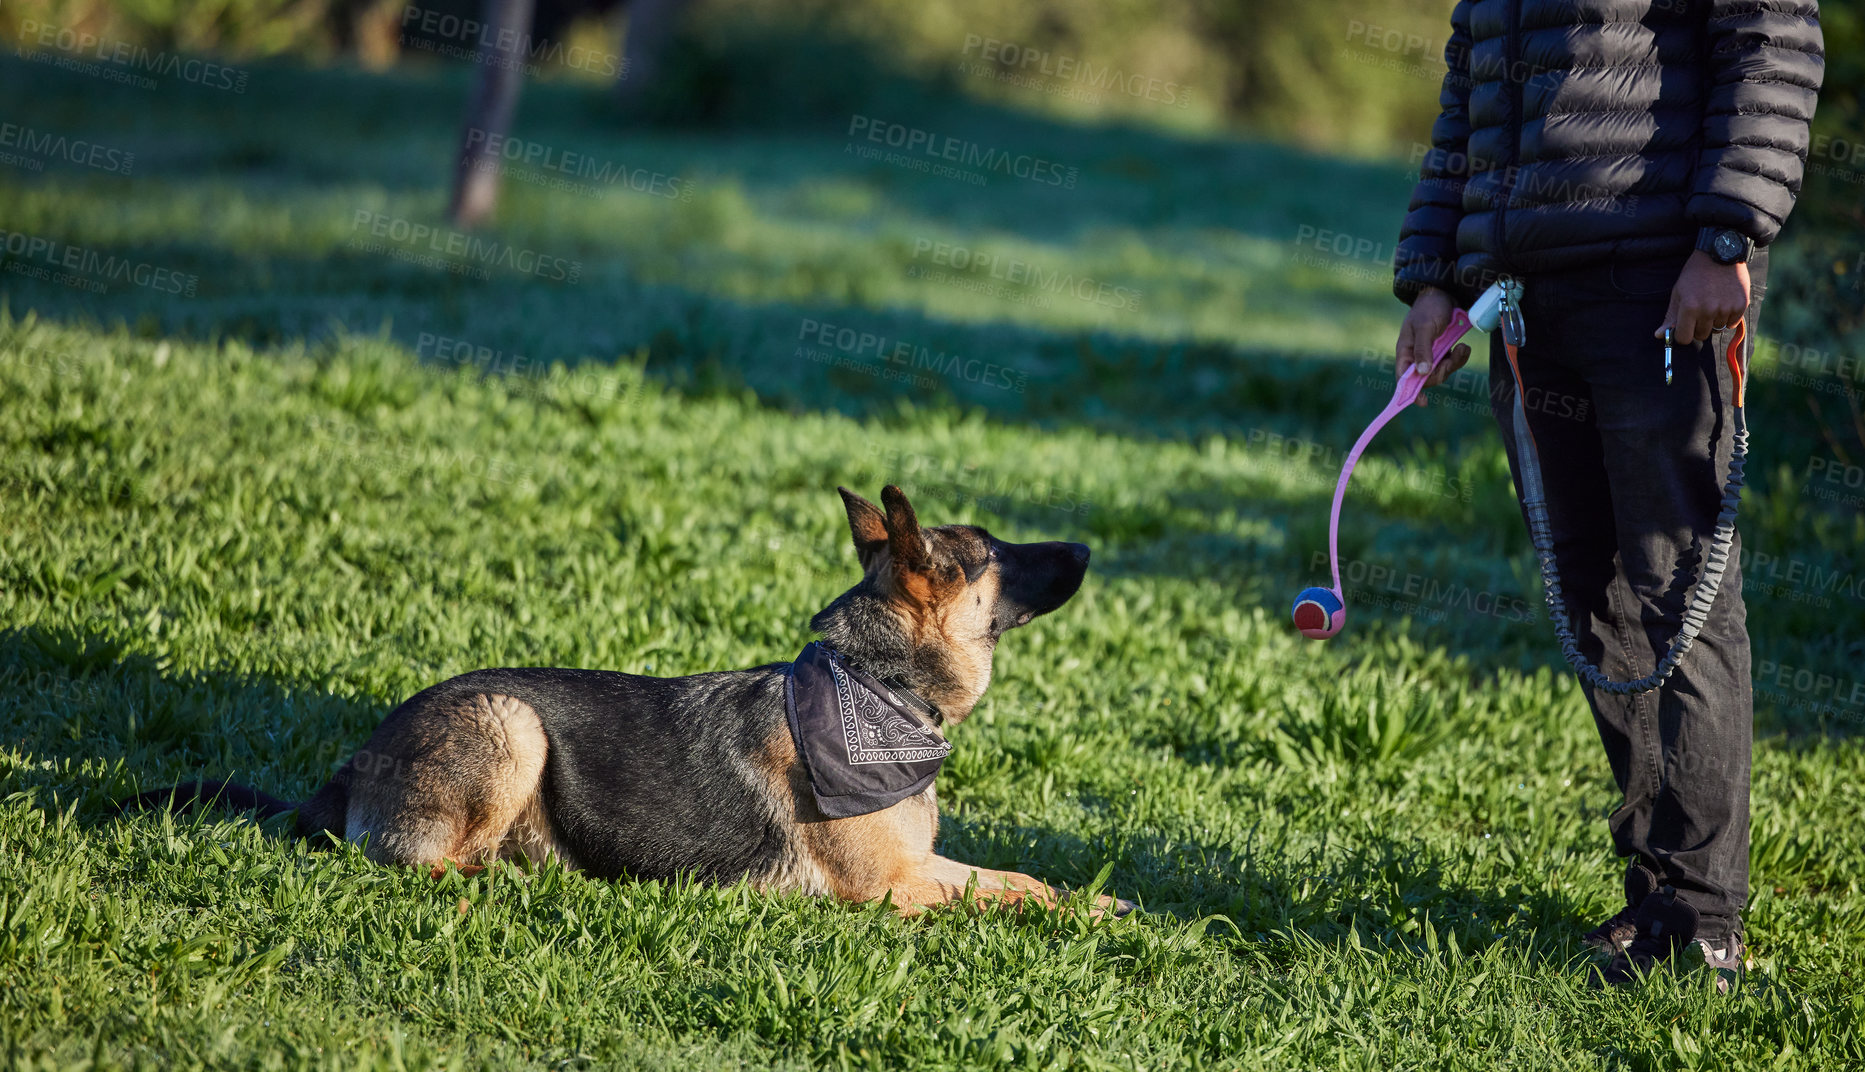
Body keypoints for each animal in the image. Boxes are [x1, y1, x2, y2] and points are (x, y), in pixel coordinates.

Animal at [135, 492, 1133, 917]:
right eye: (996, 551)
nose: (1089, 547)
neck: (873, 686)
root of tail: (343, 773)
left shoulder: (921, 865)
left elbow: (1020, 878)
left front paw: (1097, 902)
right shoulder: (891, 889)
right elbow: (1005, 896)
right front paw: (1079, 913)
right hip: (511, 724)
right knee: (412, 863)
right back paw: (522, 881)